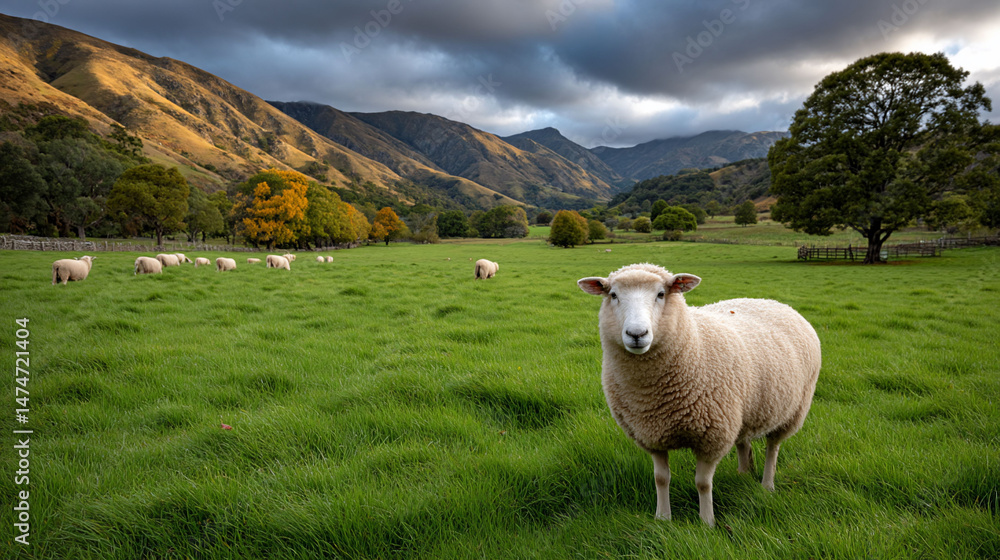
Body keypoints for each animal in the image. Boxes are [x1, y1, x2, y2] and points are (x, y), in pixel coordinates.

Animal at [577, 263, 821, 527]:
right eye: (613, 295)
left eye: (661, 294)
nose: (636, 334)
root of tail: (772, 301)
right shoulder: (652, 433)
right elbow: (660, 479)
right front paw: (663, 518)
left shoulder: (713, 436)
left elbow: (703, 483)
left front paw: (707, 522)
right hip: (742, 411)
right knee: (744, 441)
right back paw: (742, 474)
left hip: (791, 411)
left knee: (772, 448)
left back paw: (767, 485)